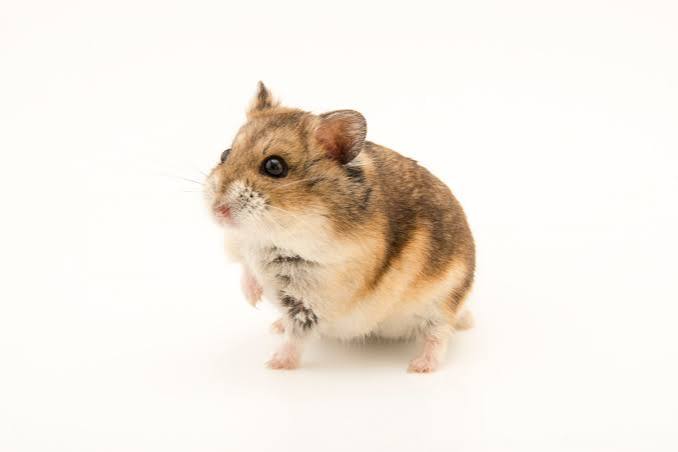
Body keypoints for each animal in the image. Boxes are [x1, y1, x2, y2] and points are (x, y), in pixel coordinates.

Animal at [204, 82, 475, 372]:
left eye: (274, 166)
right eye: (225, 154)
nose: (217, 211)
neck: (273, 237)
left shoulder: (312, 300)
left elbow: (296, 337)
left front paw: (274, 365)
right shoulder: (245, 247)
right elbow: (246, 267)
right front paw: (252, 299)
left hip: (442, 300)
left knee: (439, 334)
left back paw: (421, 366)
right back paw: (275, 325)